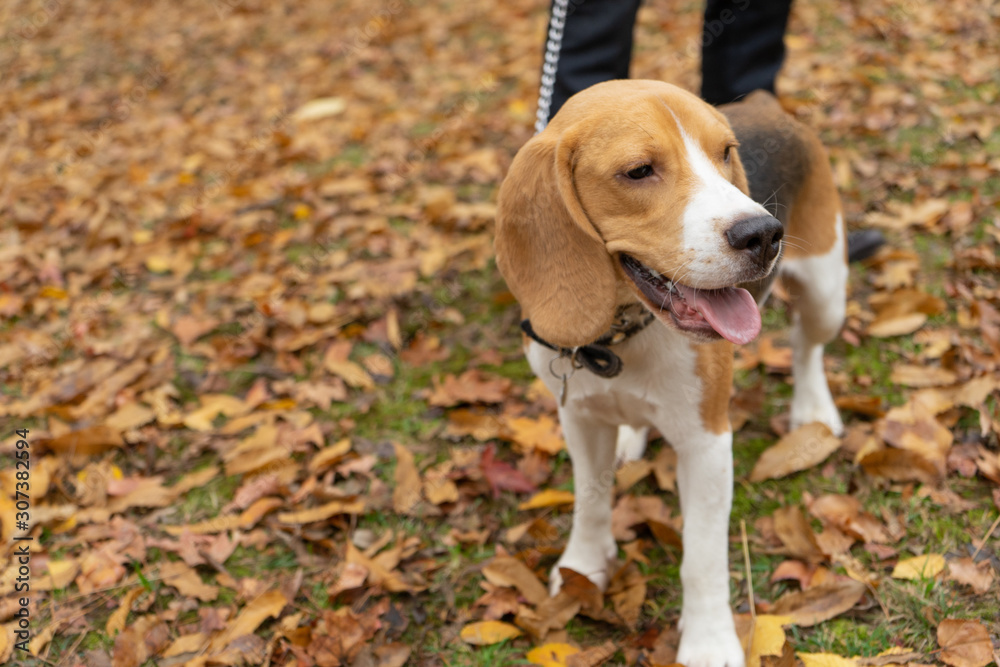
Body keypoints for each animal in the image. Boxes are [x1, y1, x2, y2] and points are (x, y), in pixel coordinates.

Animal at [492, 79, 844, 667]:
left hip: (825, 290)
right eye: (638, 171)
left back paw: (813, 408)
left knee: (806, 346)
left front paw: (709, 641)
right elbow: (590, 501)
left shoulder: (707, 444)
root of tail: (765, 101)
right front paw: (584, 566)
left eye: (725, 153)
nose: (764, 233)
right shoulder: (579, 420)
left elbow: (701, 556)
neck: (619, 338)